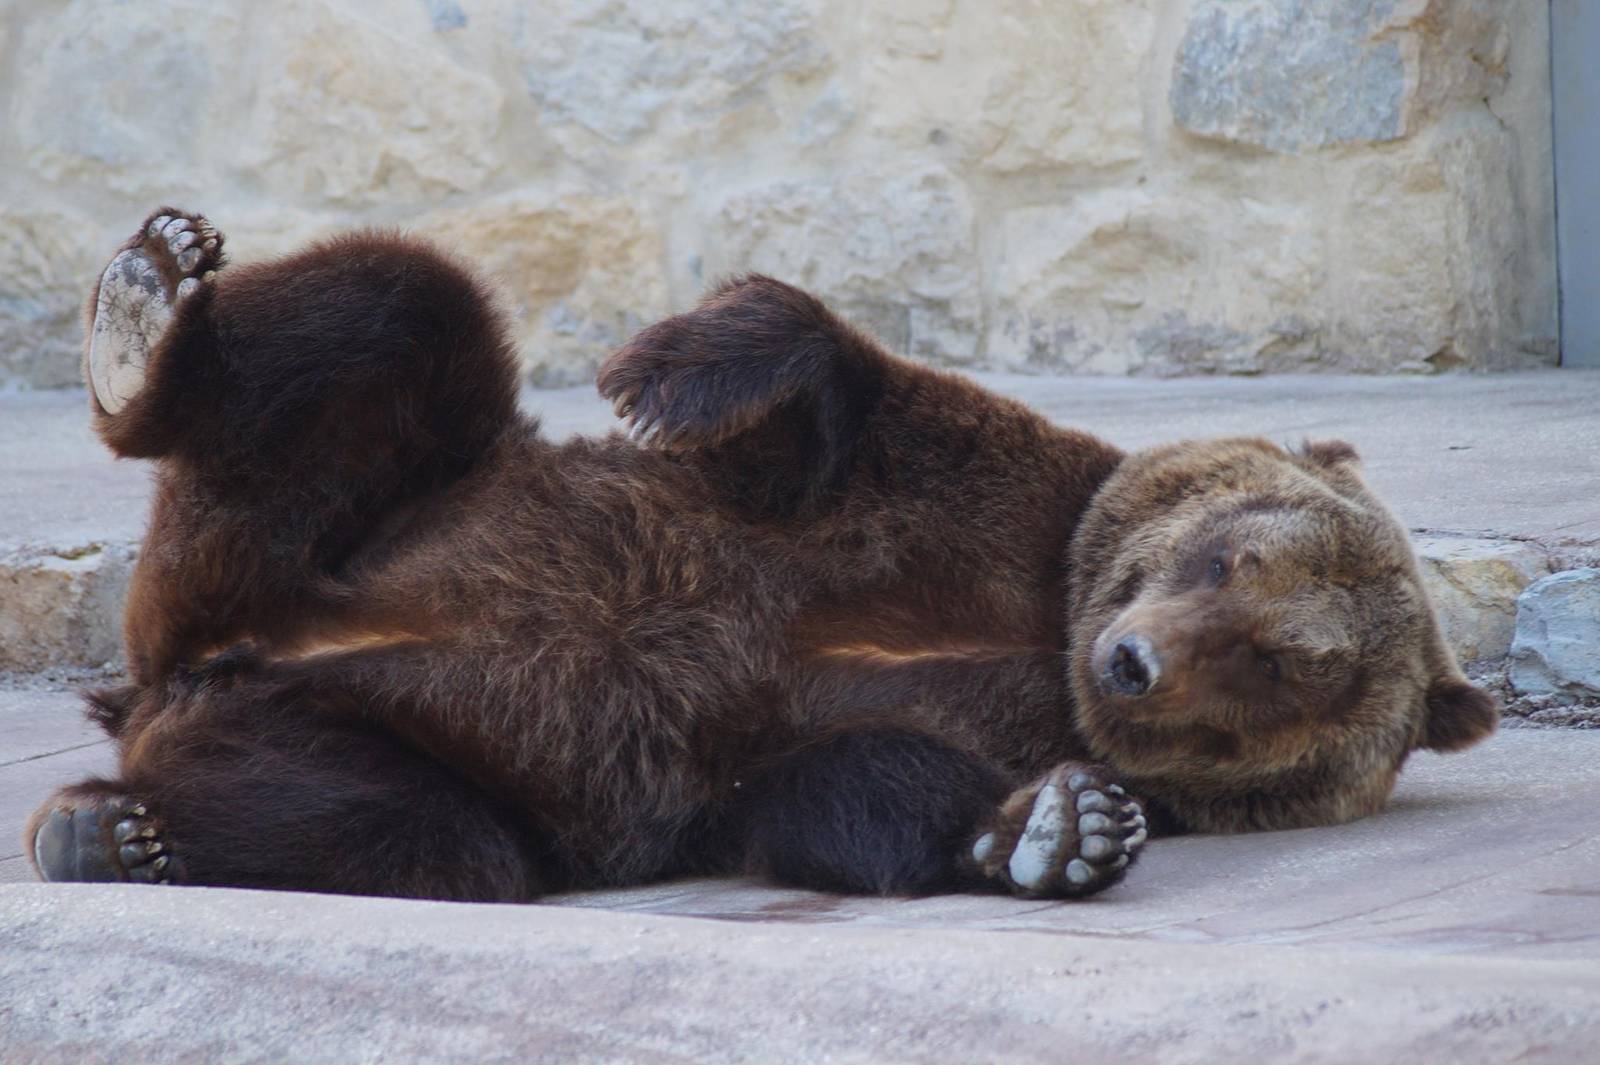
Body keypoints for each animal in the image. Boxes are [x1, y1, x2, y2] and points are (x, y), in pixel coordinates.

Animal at [25, 207, 1498, 903]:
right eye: (1228, 557)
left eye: (1286, 665)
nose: (1135, 664)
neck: (1042, 627)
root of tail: (193, 657)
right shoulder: (981, 502)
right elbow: (839, 392)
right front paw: (670, 370)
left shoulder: (811, 727)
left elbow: (855, 789)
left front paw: (1054, 831)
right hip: (337, 513)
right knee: (398, 308)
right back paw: (145, 312)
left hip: (355, 735)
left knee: (422, 835)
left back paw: (118, 827)